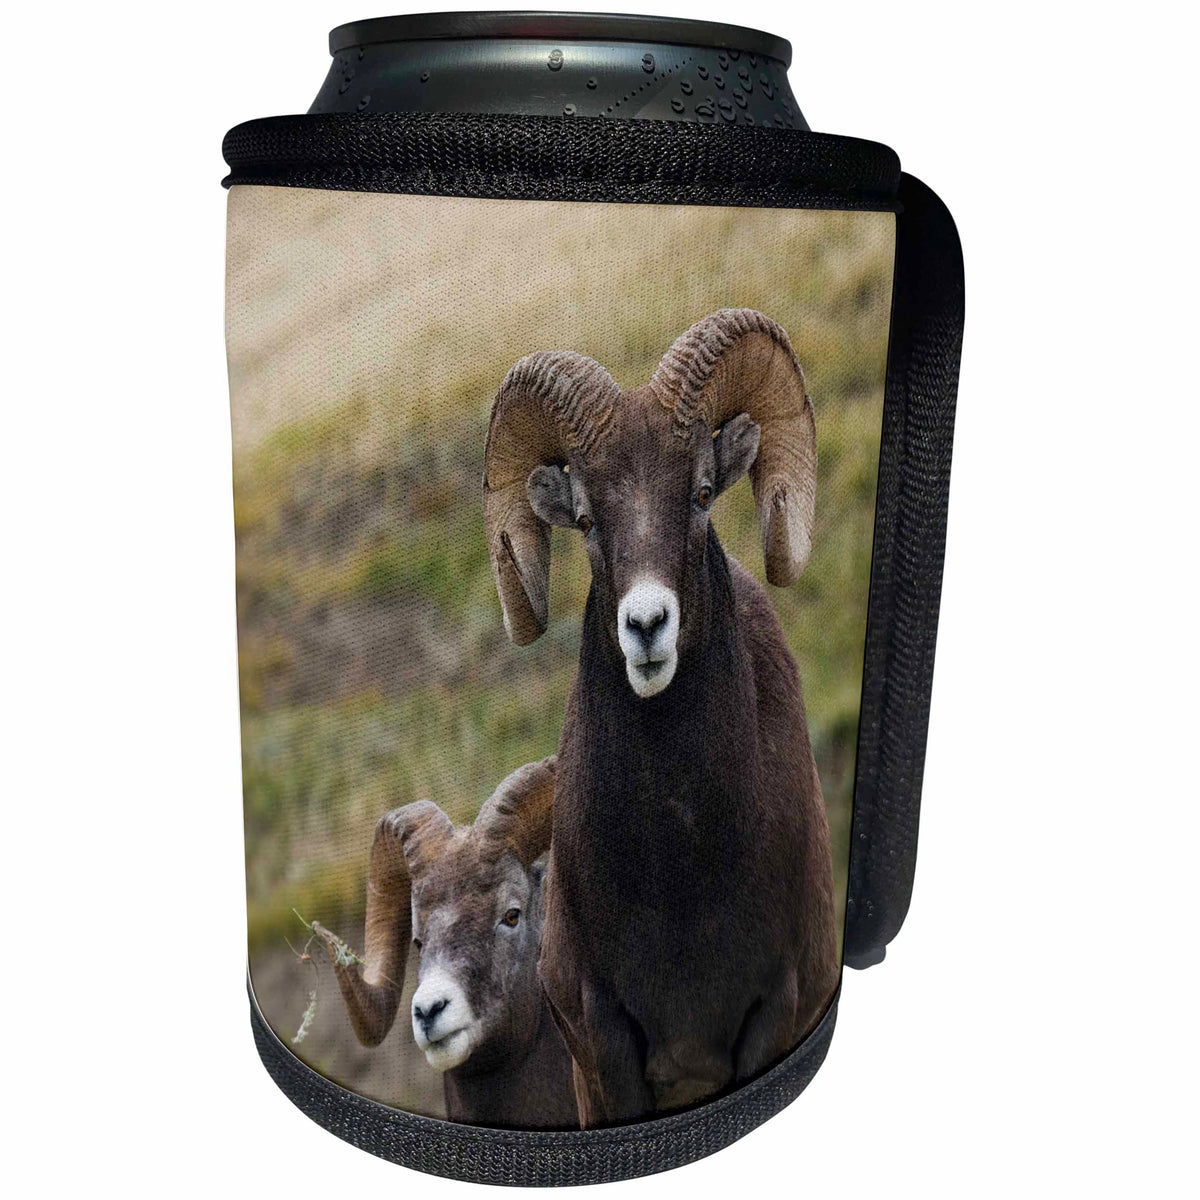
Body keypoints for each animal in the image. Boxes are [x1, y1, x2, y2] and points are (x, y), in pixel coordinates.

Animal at [482, 309, 839, 1125]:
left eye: (703, 491)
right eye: (585, 519)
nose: (647, 627)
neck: (679, 872)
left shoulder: (770, 1013)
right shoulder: (605, 1045)